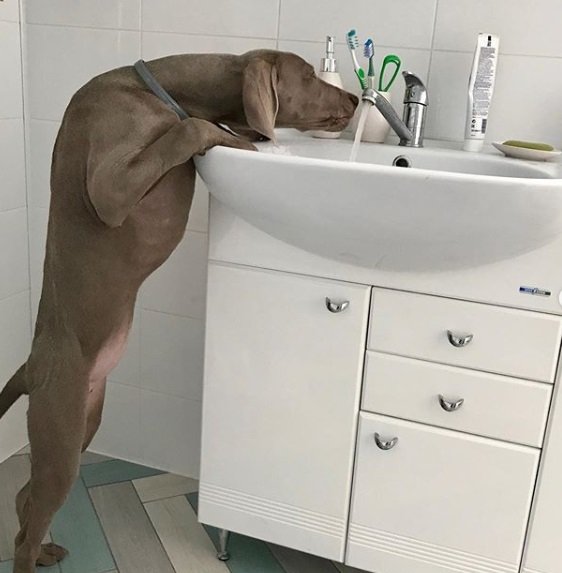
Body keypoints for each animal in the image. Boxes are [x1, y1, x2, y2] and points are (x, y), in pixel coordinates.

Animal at [0, 50, 356, 572]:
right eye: (310, 75)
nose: (355, 98)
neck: (156, 90)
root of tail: (31, 366)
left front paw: (242, 134)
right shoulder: (109, 189)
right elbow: (189, 129)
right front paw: (229, 136)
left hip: (85, 422)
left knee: (26, 499)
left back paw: (46, 548)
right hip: (60, 436)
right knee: (31, 514)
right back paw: (33, 554)